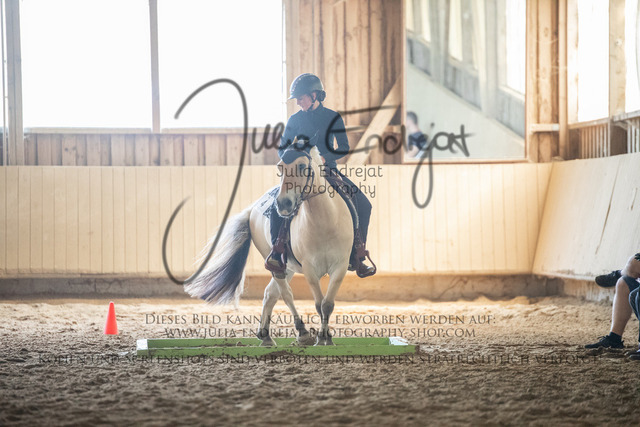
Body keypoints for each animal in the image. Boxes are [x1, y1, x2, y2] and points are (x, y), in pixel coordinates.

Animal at [184, 145, 354, 346]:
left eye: (302, 166)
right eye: (280, 167)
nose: (283, 203)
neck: (325, 222)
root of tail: (253, 209)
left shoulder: (340, 266)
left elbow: (327, 304)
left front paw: (327, 338)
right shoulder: (310, 269)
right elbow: (319, 304)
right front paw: (321, 339)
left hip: (288, 267)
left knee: (270, 293)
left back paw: (265, 336)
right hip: (277, 264)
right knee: (285, 293)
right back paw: (302, 332)